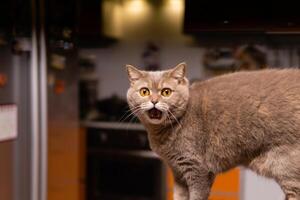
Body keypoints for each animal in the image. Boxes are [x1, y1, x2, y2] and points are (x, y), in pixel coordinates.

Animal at [125, 63, 300, 200]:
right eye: (144, 91)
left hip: (287, 166)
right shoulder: (177, 172)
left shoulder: (197, 169)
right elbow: (179, 196)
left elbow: (197, 196)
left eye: (166, 92)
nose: (154, 101)